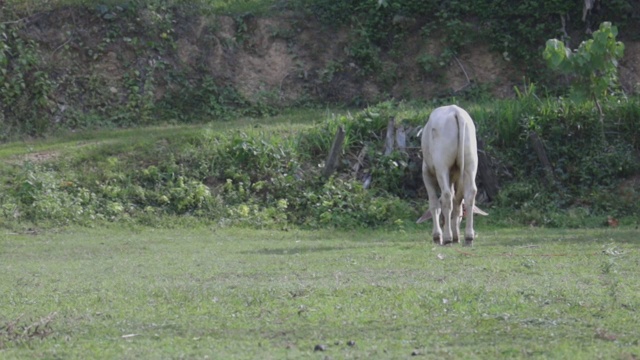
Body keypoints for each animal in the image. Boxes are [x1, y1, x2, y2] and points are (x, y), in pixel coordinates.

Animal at [418, 104, 488, 245]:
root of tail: (456, 112)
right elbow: (457, 203)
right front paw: (456, 235)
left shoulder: (426, 173)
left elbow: (434, 204)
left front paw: (437, 235)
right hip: (470, 163)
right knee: (469, 194)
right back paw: (468, 236)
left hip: (441, 166)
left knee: (447, 196)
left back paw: (447, 237)